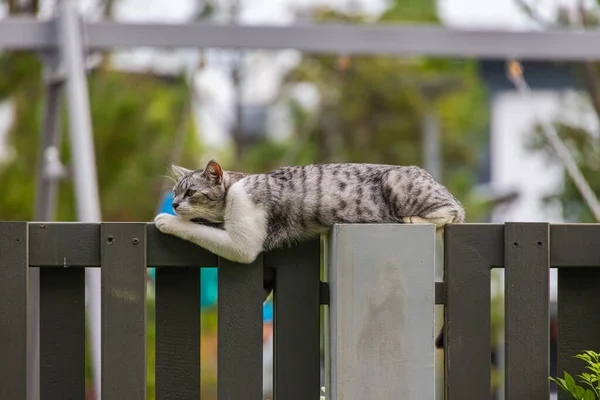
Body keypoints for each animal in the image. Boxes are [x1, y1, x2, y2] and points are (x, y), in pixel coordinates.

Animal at [156, 159, 464, 350]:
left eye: (190, 192)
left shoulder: (243, 243)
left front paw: (167, 221)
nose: (173, 204)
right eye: (175, 192)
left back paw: (415, 219)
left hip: (399, 184)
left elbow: (199, 229)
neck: (233, 189)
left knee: (452, 212)